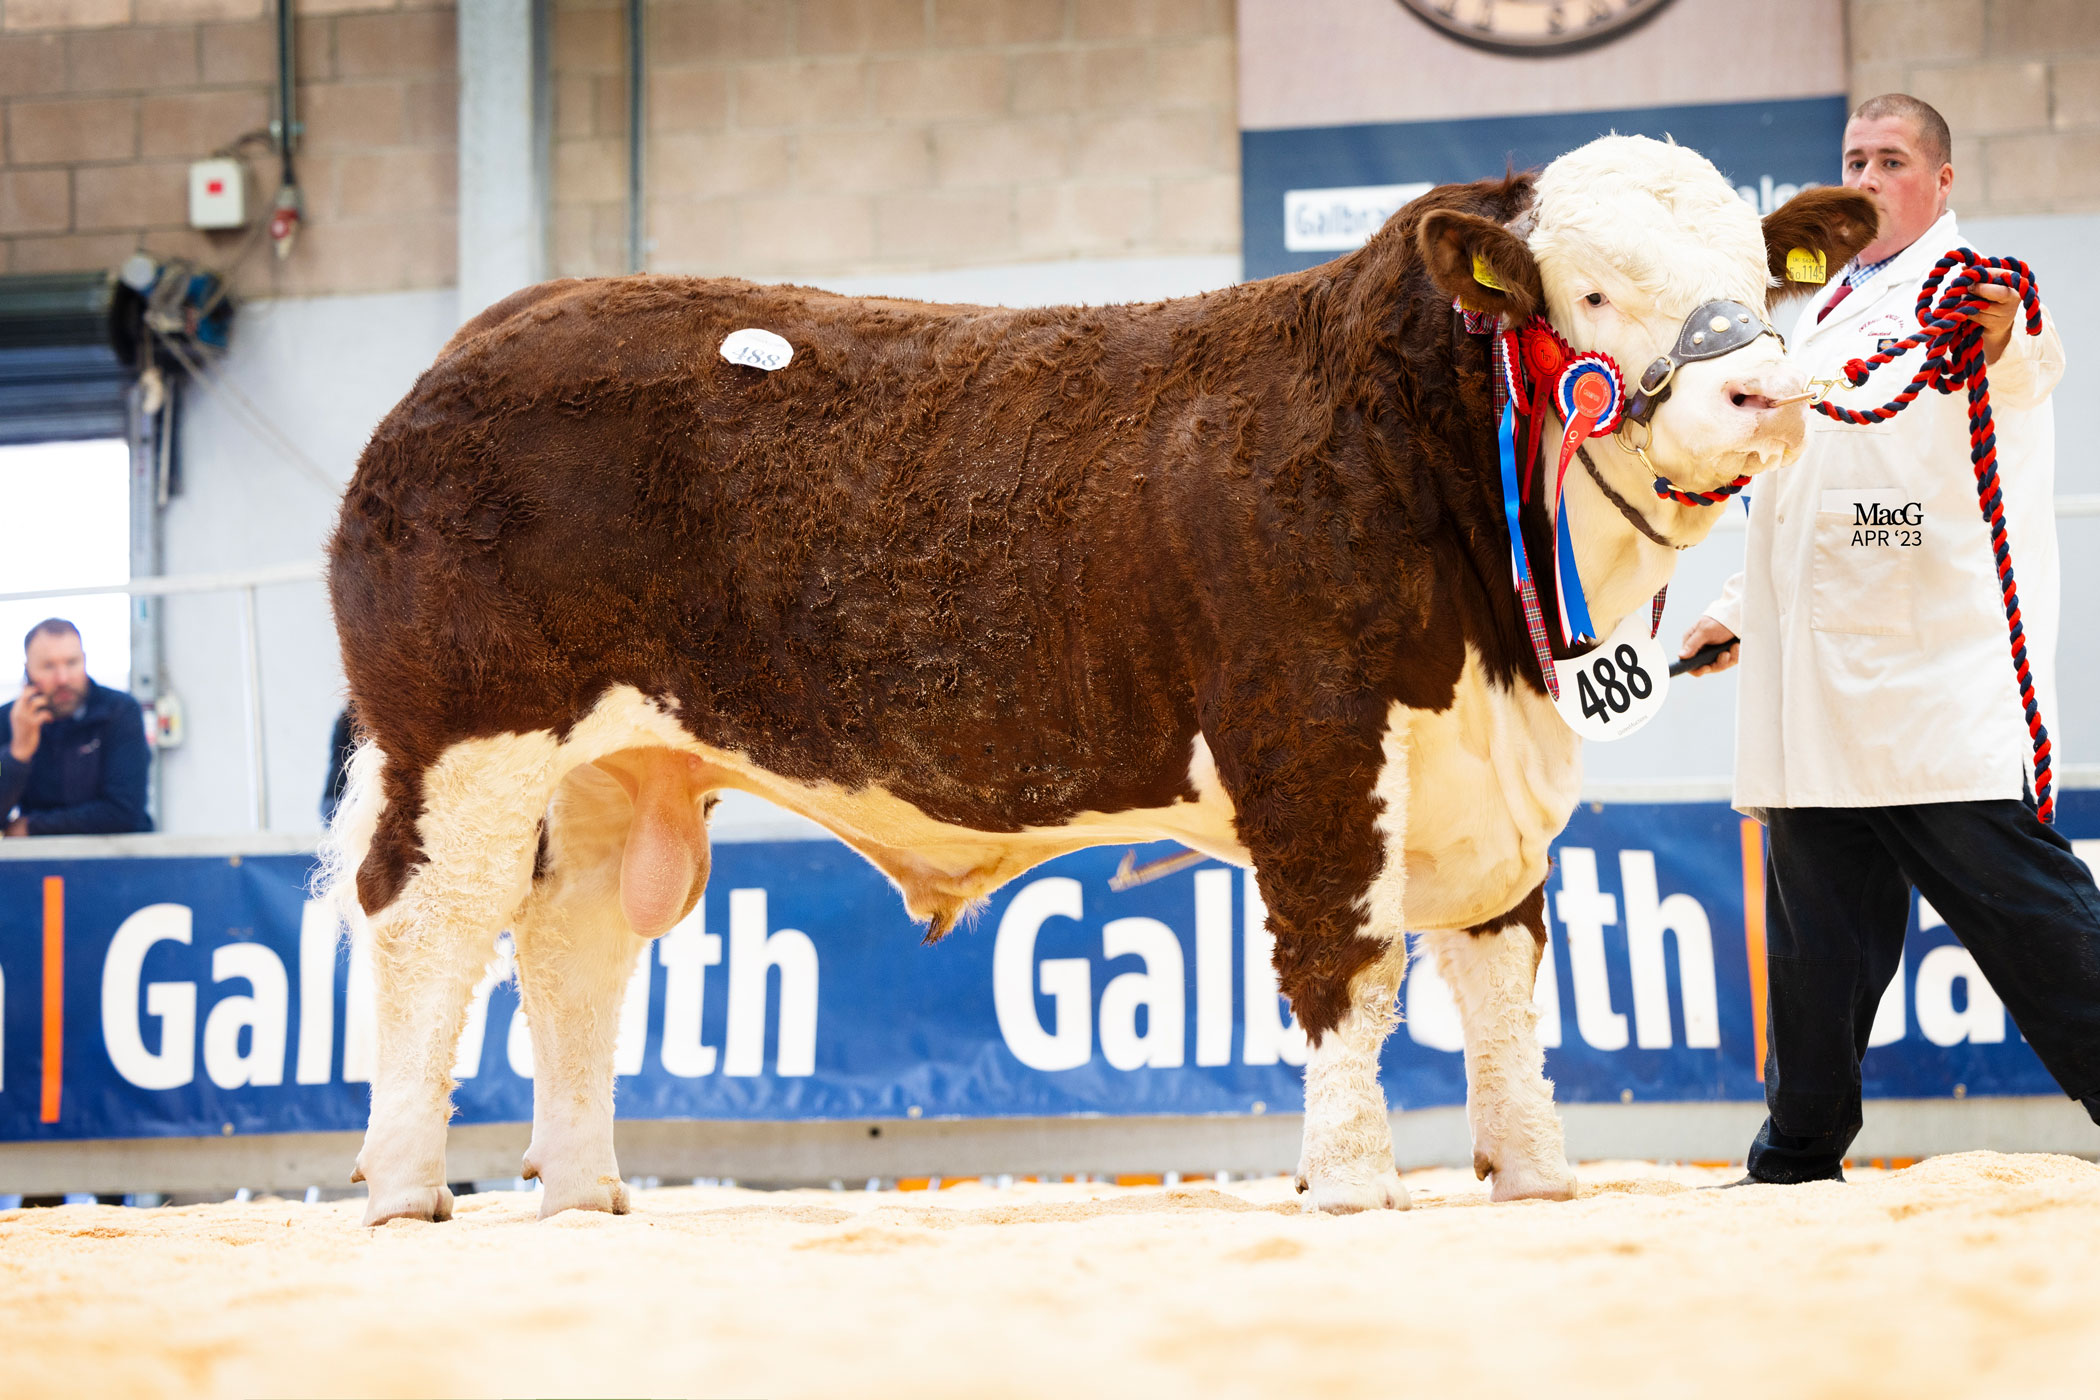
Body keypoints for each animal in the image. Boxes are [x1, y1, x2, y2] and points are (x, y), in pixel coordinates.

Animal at [315, 134, 1873, 1225]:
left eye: (1761, 275)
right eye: (1593, 288)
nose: (1763, 393)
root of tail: (490, 333)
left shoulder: (1485, 771)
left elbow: (1502, 972)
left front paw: (1537, 1174)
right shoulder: (1310, 740)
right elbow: (1350, 966)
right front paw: (1352, 1178)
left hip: (606, 765)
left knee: (569, 946)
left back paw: (583, 1190)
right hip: (467, 728)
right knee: (429, 927)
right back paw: (402, 1186)